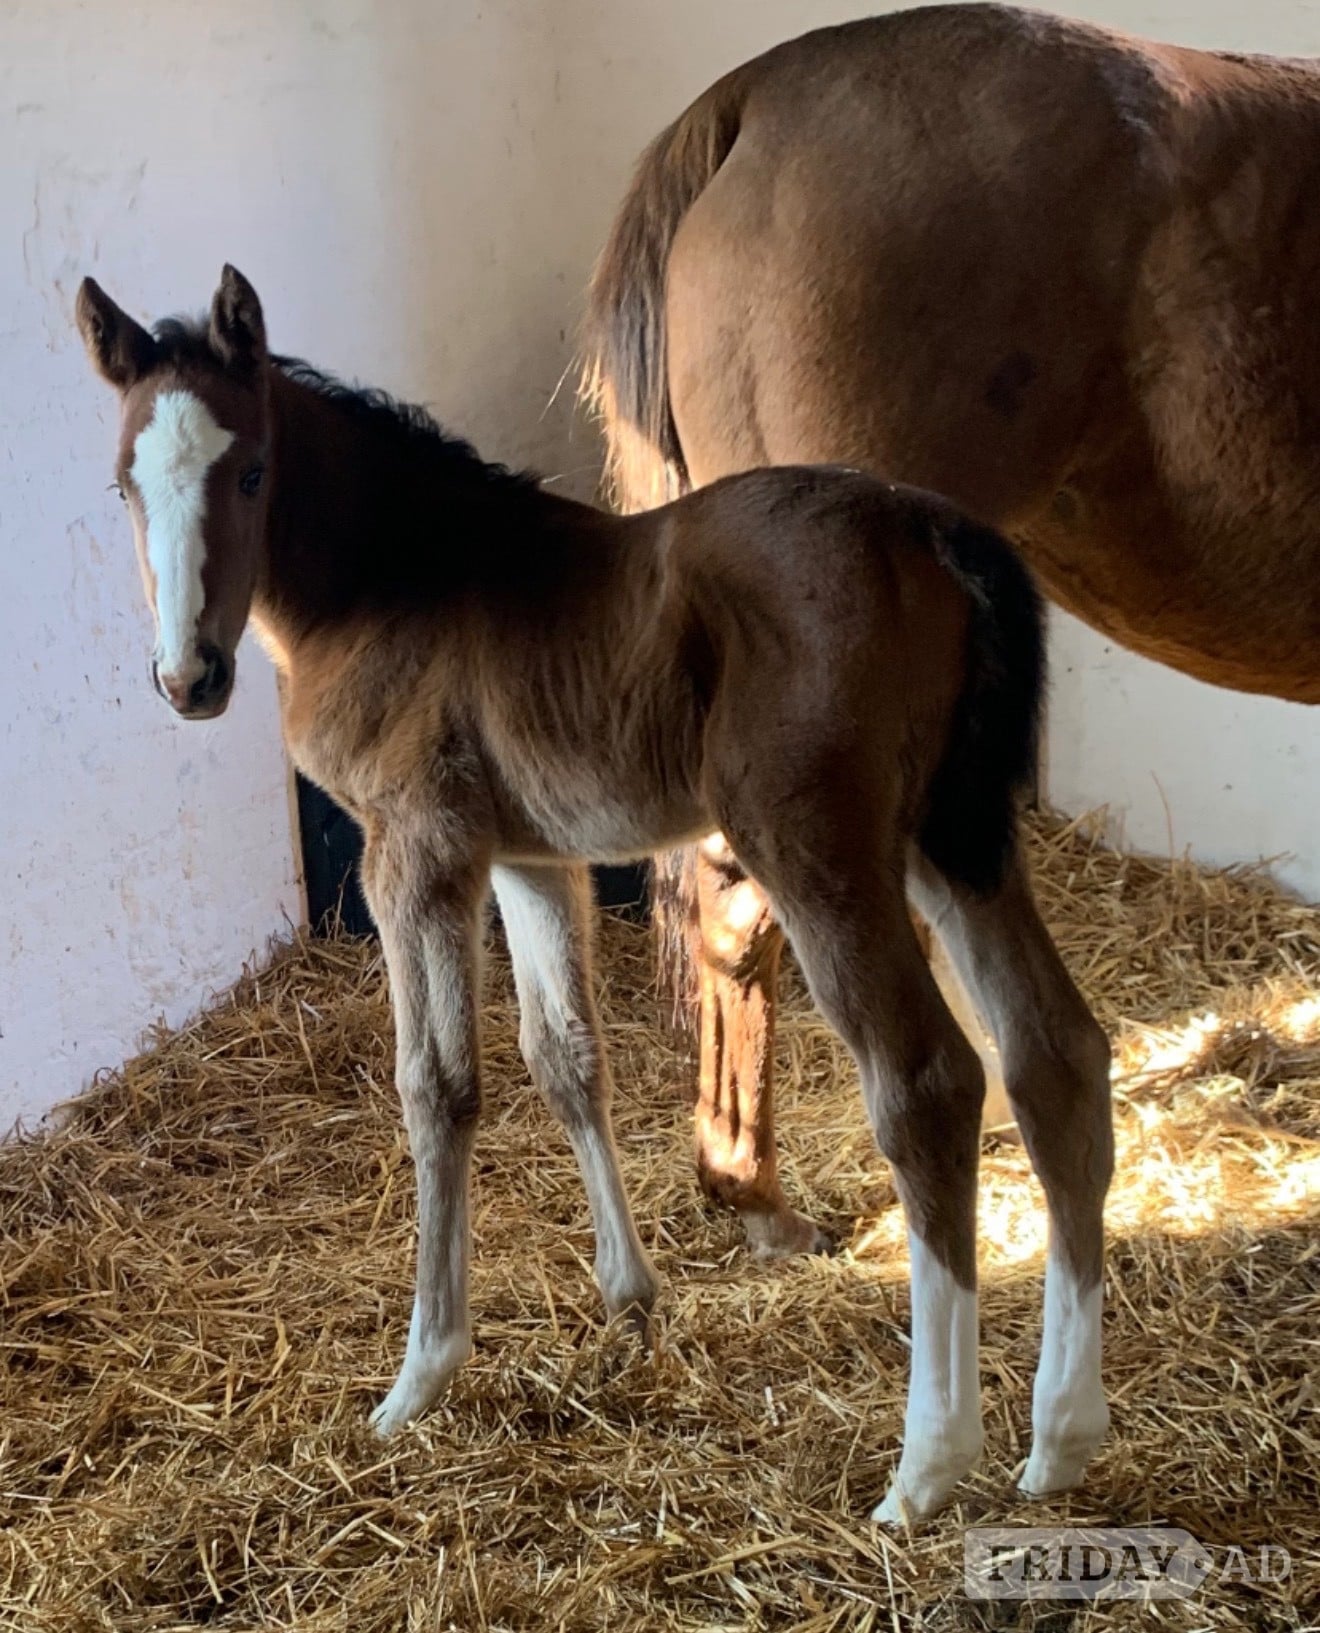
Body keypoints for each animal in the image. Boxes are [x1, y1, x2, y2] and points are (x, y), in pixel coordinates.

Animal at [77, 265, 1110, 1521]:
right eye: (126, 482)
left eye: (252, 470)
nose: (191, 678)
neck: (396, 575)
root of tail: (933, 526)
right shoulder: (532, 857)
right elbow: (566, 1054)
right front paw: (628, 1290)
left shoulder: (415, 852)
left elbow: (440, 1088)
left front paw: (421, 1374)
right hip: (953, 837)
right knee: (1055, 1052)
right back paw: (1062, 1437)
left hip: (820, 846)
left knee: (931, 1083)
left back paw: (929, 1462)